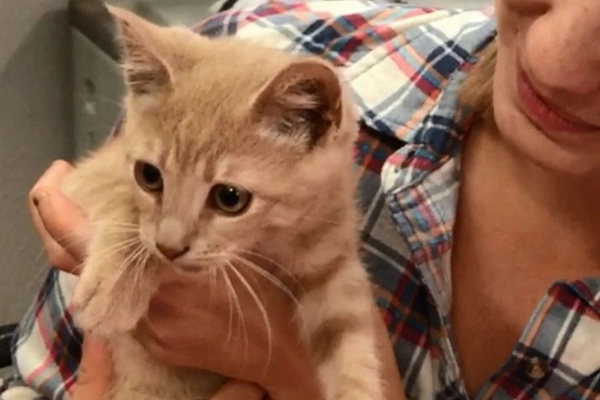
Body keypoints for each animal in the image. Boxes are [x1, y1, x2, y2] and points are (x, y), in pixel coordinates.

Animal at [61, 5, 380, 400]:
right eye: (148, 175)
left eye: (230, 198)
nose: (169, 247)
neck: (269, 241)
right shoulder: (85, 178)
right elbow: (123, 200)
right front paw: (115, 285)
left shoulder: (332, 255)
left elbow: (348, 335)